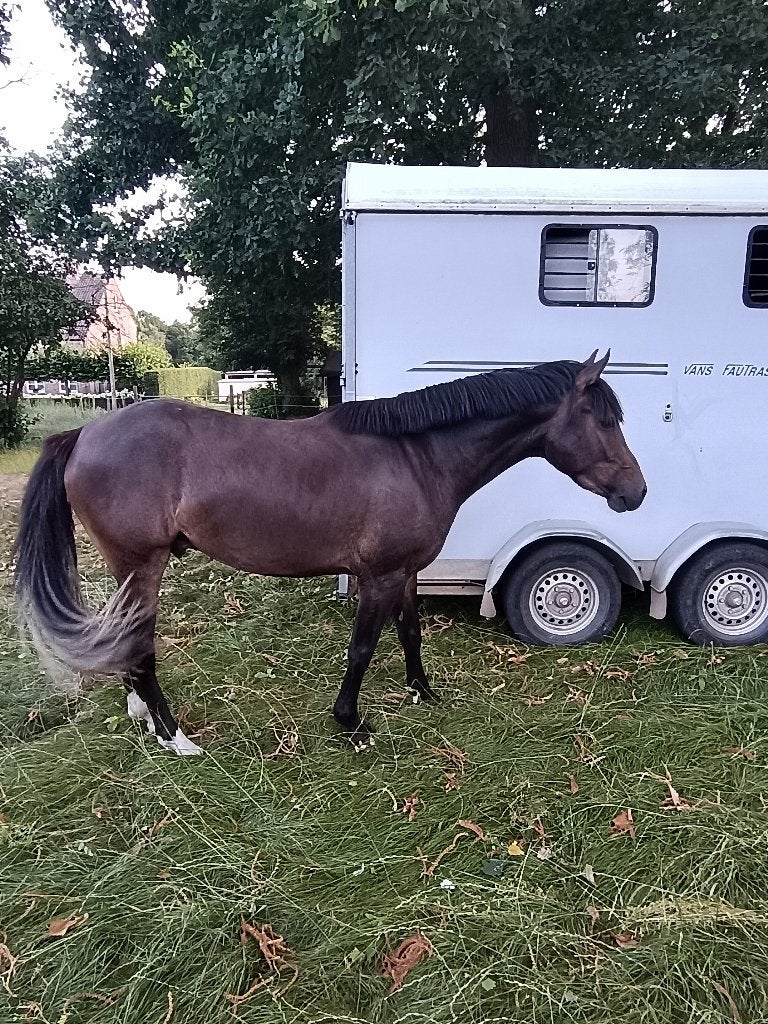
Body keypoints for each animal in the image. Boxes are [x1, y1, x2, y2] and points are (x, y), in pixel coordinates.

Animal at [14, 351, 646, 754]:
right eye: (601, 419)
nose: (636, 493)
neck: (415, 455)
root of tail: (82, 435)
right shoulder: (378, 575)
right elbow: (363, 648)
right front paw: (351, 723)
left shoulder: (405, 572)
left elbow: (410, 634)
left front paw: (423, 693)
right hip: (141, 564)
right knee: (140, 647)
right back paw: (176, 737)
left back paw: (145, 718)